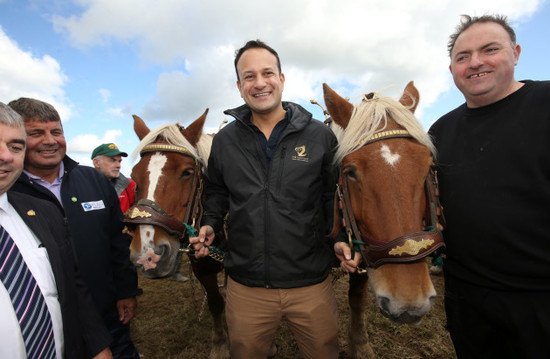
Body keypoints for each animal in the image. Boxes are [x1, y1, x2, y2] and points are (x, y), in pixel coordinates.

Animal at [124, 110, 229, 359]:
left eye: (187, 172)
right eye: (134, 176)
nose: (148, 256)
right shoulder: (202, 268)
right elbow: (216, 303)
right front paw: (220, 344)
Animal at [326, 82, 446, 359]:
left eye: (428, 167)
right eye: (350, 172)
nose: (409, 304)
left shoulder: (363, 251)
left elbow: (357, 298)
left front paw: (360, 345)